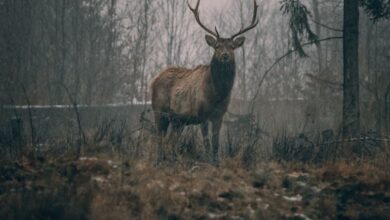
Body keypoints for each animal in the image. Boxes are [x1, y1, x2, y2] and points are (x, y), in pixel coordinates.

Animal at [152, 0, 258, 164]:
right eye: (217, 46)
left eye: (232, 46)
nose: (225, 55)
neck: (217, 94)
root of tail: (153, 80)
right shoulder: (202, 114)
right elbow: (207, 142)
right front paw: (208, 162)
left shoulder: (219, 115)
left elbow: (215, 142)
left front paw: (216, 163)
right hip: (159, 111)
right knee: (160, 138)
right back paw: (159, 162)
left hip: (178, 120)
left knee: (171, 140)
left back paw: (171, 161)